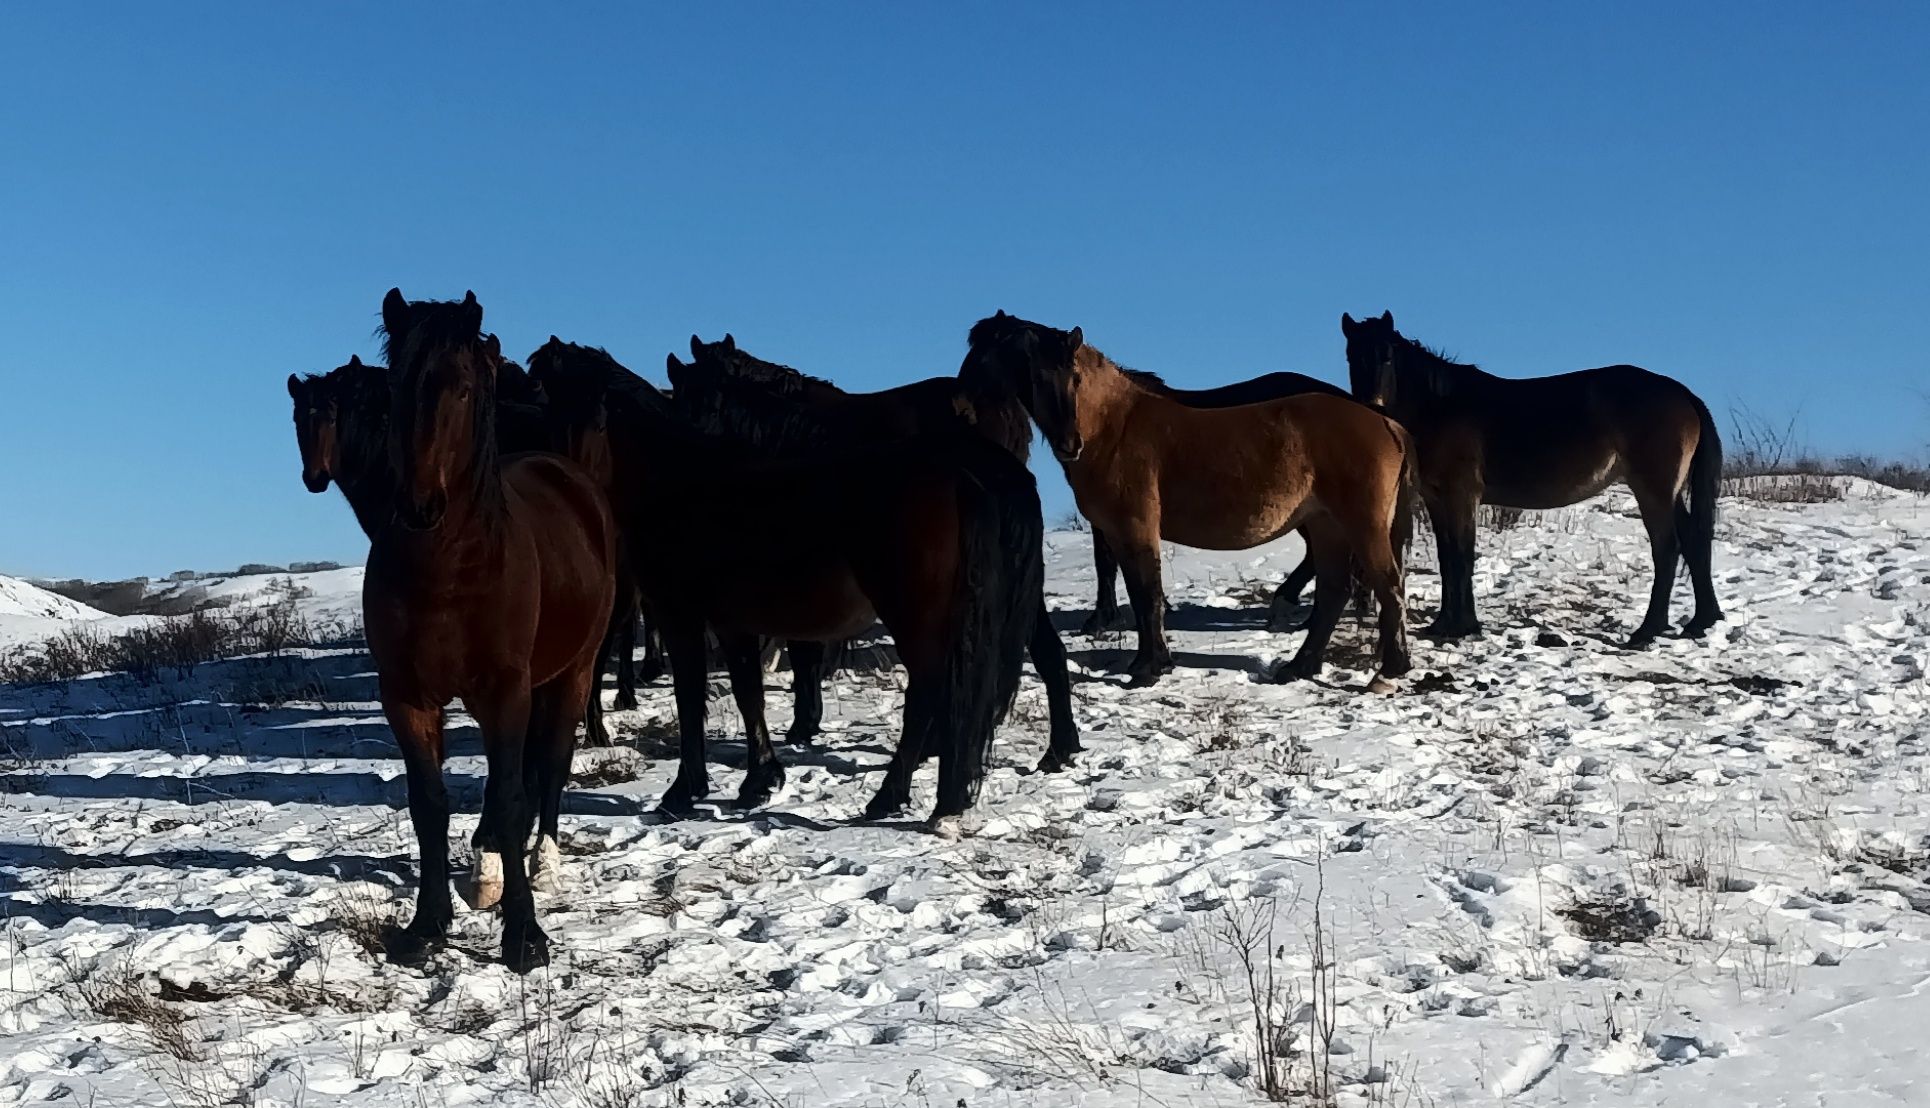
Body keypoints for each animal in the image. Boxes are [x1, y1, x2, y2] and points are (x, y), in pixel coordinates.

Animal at [355, 293, 609, 972]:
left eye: (465, 389)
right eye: (396, 386)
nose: (420, 508)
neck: (447, 570)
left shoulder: (506, 690)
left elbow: (516, 796)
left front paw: (525, 934)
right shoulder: (407, 697)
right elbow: (430, 805)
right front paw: (426, 925)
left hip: (571, 673)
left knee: (547, 768)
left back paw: (540, 866)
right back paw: (485, 872)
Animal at [524, 341, 1042, 833]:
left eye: (592, 418)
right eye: (548, 411)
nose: (564, 490)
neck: (677, 484)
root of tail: (962, 476)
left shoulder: (680, 616)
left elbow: (691, 699)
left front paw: (683, 791)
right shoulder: (731, 623)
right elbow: (748, 691)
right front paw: (760, 781)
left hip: (914, 618)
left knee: (927, 696)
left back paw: (891, 798)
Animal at [972, 312, 1412, 691]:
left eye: (1075, 376)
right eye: (1032, 379)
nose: (1069, 444)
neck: (1115, 426)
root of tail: (1384, 421)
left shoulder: (1134, 526)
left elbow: (1147, 593)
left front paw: (1148, 668)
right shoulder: (1117, 532)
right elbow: (1137, 592)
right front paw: (1148, 662)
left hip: (1361, 524)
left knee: (1387, 585)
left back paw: (1387, 672)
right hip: (1325, 525)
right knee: (1334, 591)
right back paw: (1299, 666)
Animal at [1343, 308, 1721, 648]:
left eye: (1387, 356)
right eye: (1351, 356)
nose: (1372, 407)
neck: (1440, 407)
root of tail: (1683, 394)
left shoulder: (1461, 495)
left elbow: (1462, 555)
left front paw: (1464, 626)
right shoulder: (1437, 499)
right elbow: (1447, 556)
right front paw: (1444, 624)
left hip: (1653, 489)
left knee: (1667, 548)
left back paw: (1647, 631)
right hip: (1667, 492)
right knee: (1693, 539)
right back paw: (1700, 623)